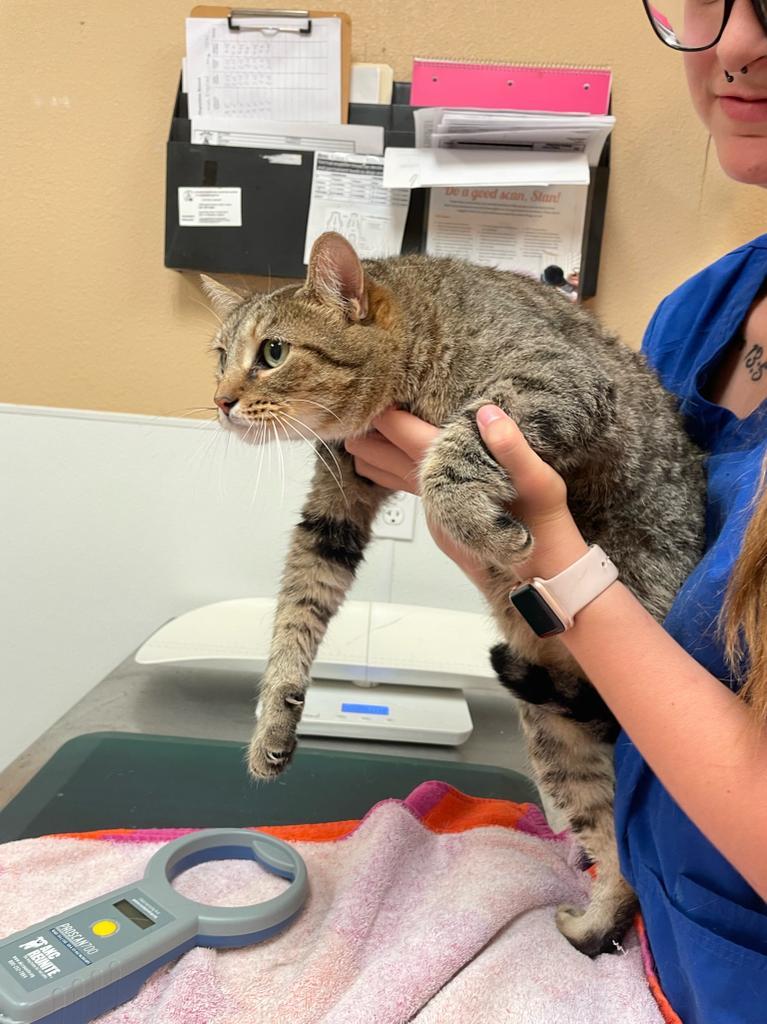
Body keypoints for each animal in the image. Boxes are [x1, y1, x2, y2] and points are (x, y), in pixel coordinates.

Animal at [203, 230, 704, 950]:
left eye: (271, 353)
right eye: (220, 357)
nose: (219, 401)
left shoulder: (552, 379)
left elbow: (455, 452)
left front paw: (473, 519)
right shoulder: (335, 506)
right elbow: (299, 602)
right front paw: (276, 713)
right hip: (559, 744)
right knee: (613, 845)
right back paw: (594, 920)